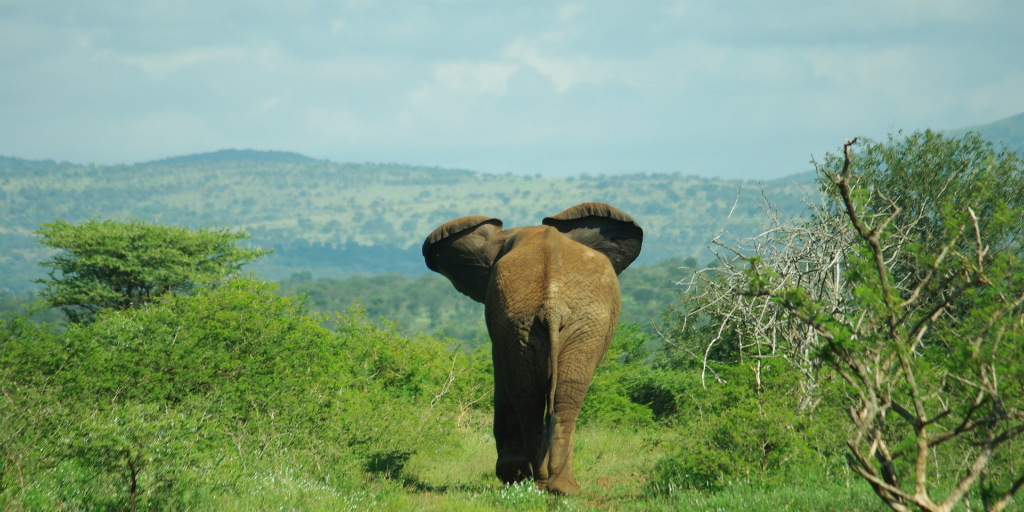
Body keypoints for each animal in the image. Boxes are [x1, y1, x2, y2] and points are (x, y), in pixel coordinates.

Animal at [421, 201, 643, 493]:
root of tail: (552, 303)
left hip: (551, 327)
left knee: (540, 397)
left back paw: (543, 483)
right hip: (534, 326)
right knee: (548, 398)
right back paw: (549, 485)